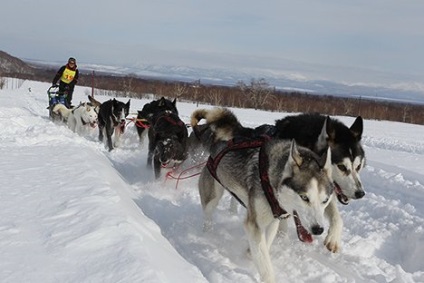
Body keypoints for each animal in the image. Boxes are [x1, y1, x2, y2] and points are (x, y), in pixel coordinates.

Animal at [200, 134, 334, 283]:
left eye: (325, 200)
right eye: (304, 197)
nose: (318, 229)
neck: (270, 180)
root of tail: (218, 145)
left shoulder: (274, 218)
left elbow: (266, 242)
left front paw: (249, 252)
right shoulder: (254, 224)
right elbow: (264, 262)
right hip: (212, 198)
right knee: (208, 214)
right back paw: (207, 233)